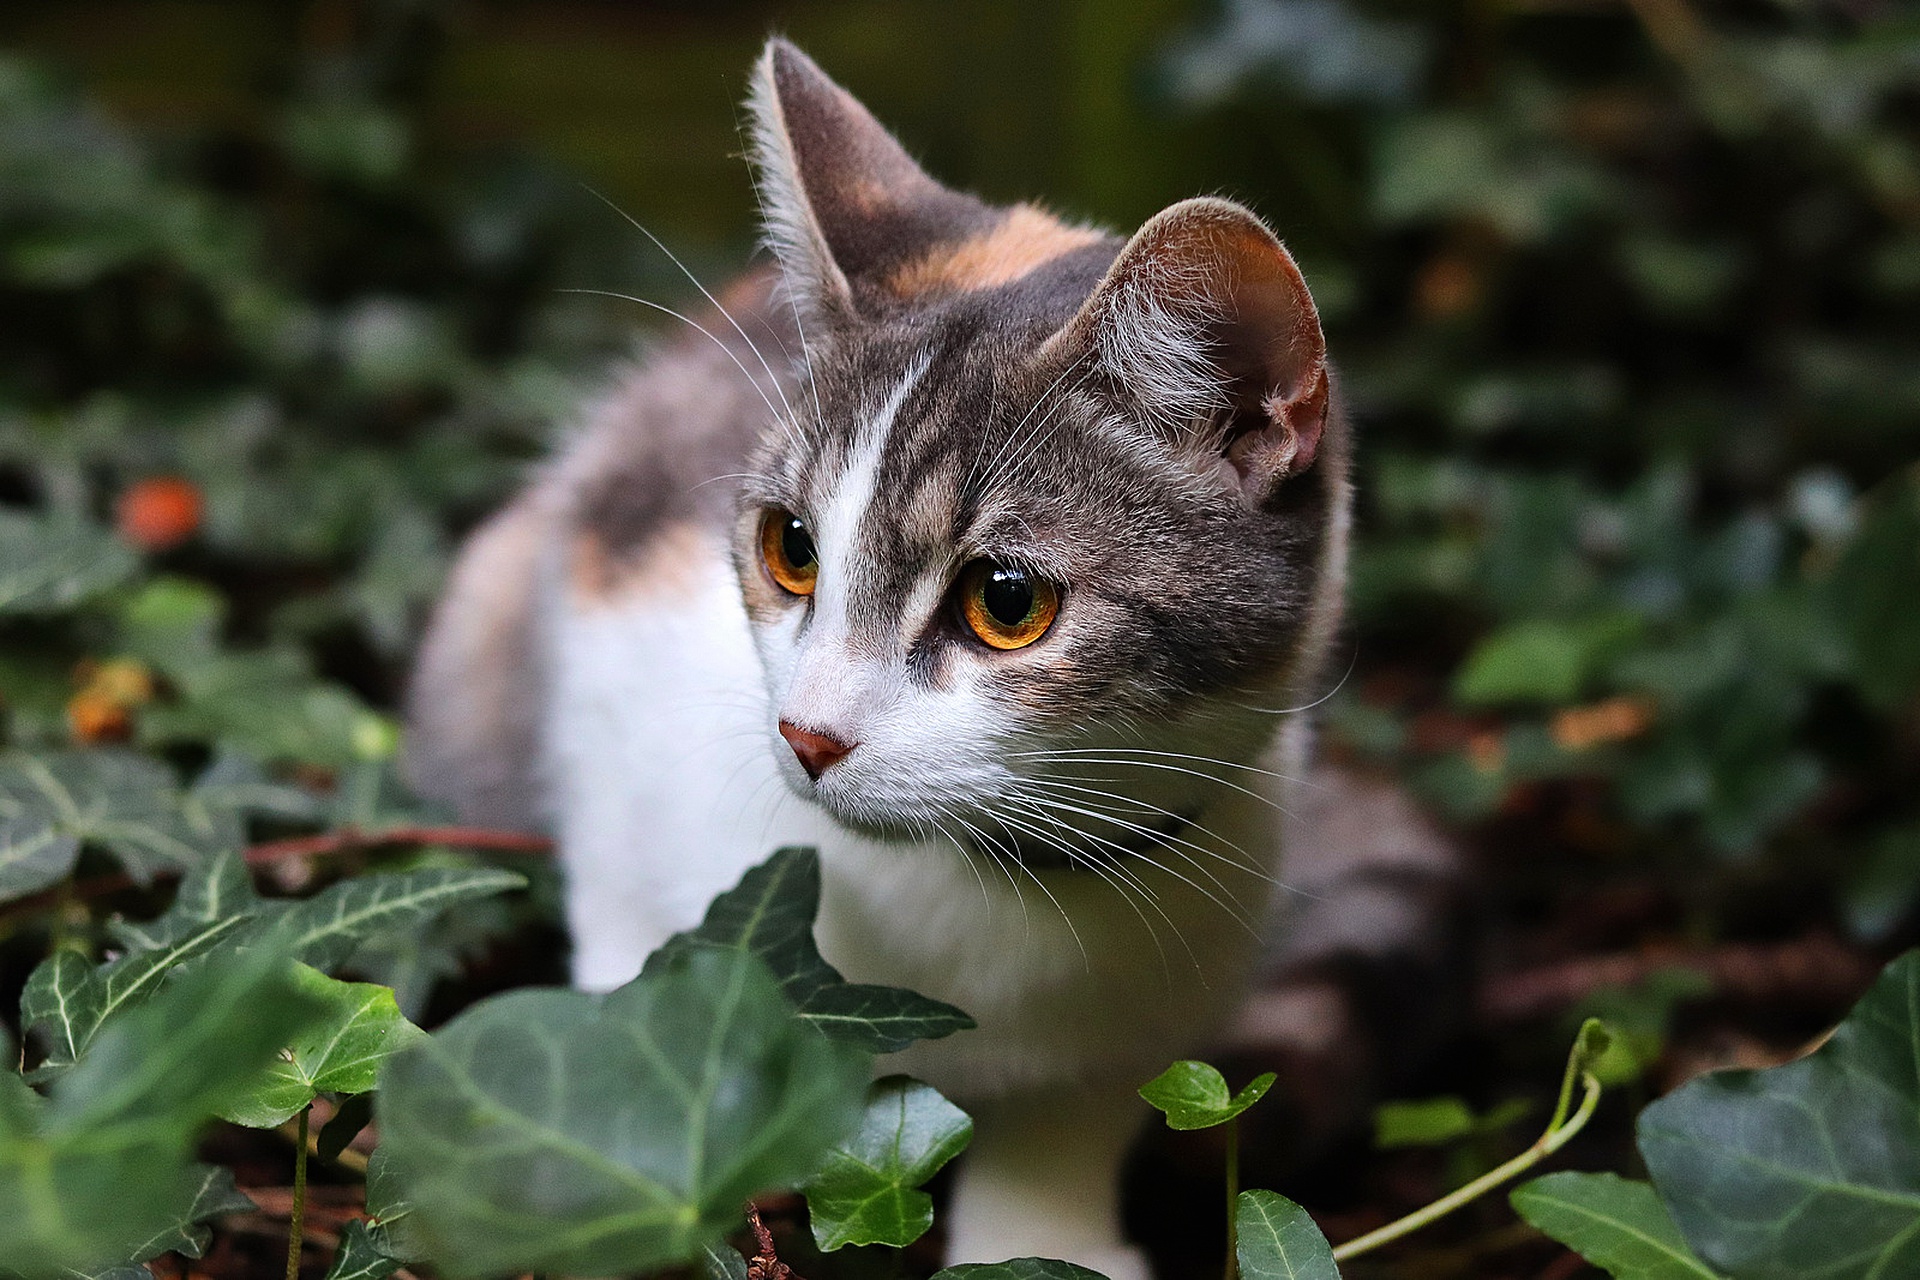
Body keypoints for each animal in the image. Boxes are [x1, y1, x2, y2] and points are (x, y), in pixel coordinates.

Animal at [408, 37, 1351, 1280]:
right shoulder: (610, 646)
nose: (807, 734)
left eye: (1007, 602)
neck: (978, 890)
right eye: (790, 546)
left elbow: (1073, 1114)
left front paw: (1045, 1237)